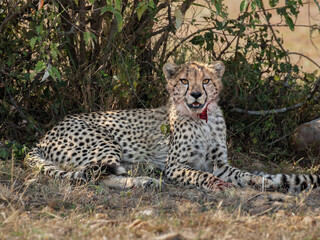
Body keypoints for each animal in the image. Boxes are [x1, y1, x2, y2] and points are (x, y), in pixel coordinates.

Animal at [25, 61, 320, 193]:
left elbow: (241, 173)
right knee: (95, 174)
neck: (202, 118)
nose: (197, 94)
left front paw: (259, 180)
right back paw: (144, 181)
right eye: (184, 81)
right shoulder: (175, 166)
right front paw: (215, 185)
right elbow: (199, 175)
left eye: (206, 80)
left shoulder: (221, 163)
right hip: (104, 142)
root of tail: (43, 137)